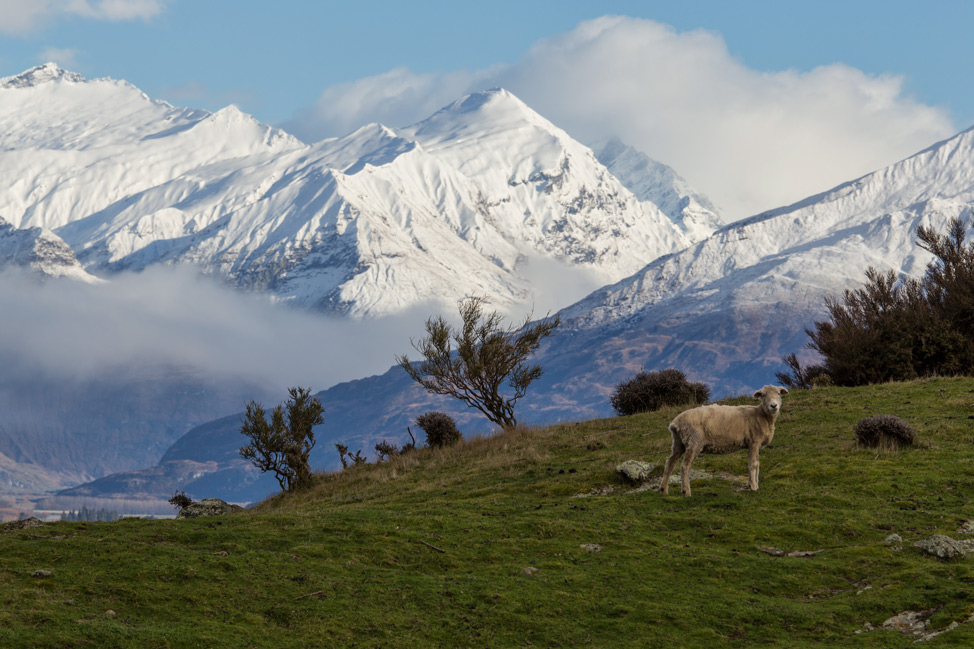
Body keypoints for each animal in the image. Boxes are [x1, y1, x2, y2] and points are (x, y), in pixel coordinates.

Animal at [660, 384, 788, 496]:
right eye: (763, 395)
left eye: (778, 393)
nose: (773, 406)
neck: (762, 415)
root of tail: (675, 423)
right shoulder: (754, 442)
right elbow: (753, 464)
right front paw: (753, 486)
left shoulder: (756, 444)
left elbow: (757, 463)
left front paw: (754, 484)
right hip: (694, 441)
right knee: (685, 465)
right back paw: (686, 492)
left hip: (678, 442)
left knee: (670, 462)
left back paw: (663, 490)